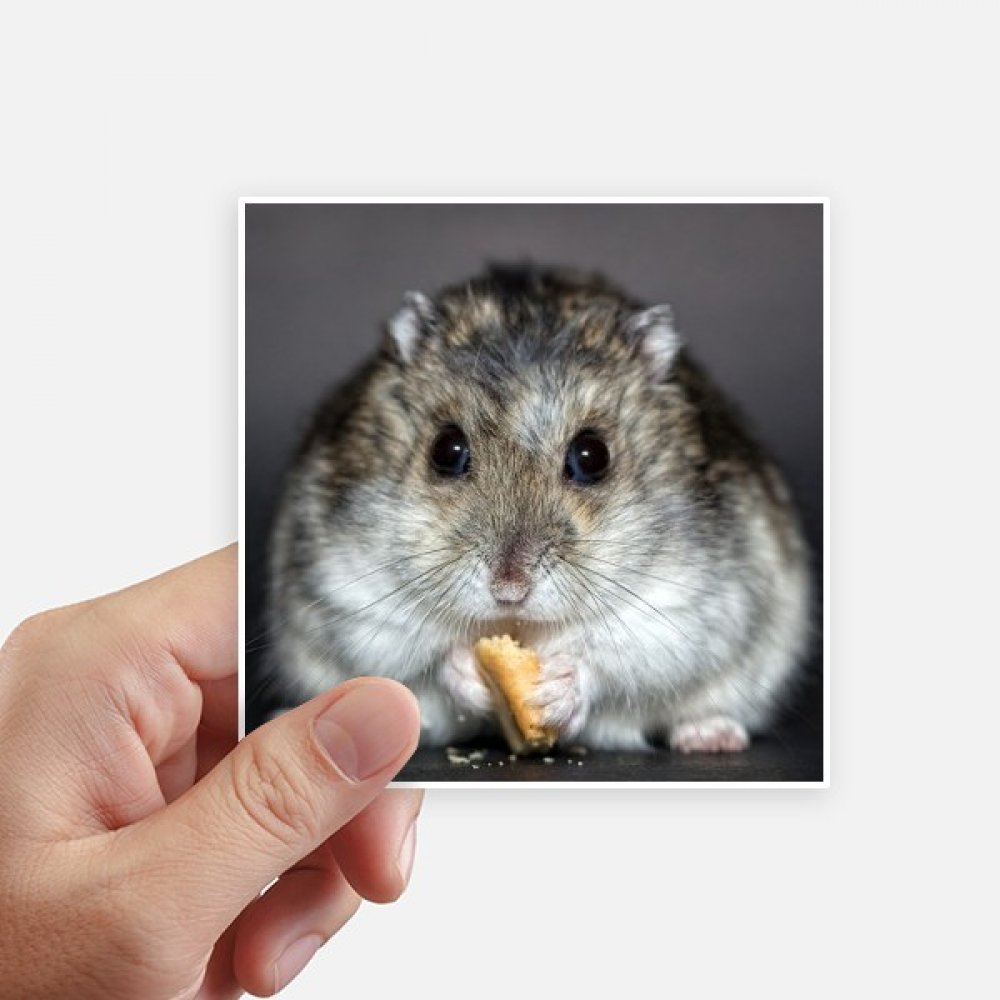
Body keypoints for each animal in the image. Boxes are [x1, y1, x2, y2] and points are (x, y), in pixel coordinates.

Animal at [264, 264, 812, 753]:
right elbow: (424, 657)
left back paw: (710, 737)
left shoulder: (685, 606)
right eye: (446, 451)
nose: (510, 589)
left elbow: (613, 658)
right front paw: (468, 670)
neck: (520, 627)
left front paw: (556, 689)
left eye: (592, 456)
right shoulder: (351, 596)